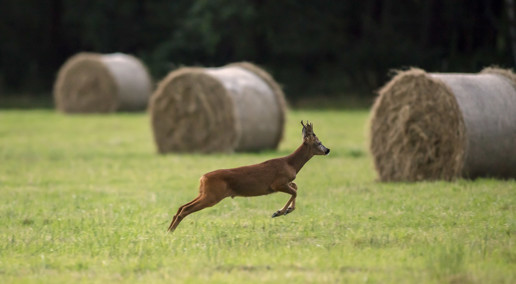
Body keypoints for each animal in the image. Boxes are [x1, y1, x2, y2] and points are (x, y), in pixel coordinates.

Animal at [169, 121, 330, 232]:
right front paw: (279, 212)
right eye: (319, 142)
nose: (328, 150)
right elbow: (295, 191)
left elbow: (296, 187)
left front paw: (286, 210)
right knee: (185, 209)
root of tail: (202, 178)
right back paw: (171, 231)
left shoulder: (284, 183)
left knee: (181, 206)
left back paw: (169, 230)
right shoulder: (277, 183)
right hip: (212, 196)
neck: (290, 163)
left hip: (205, 193)